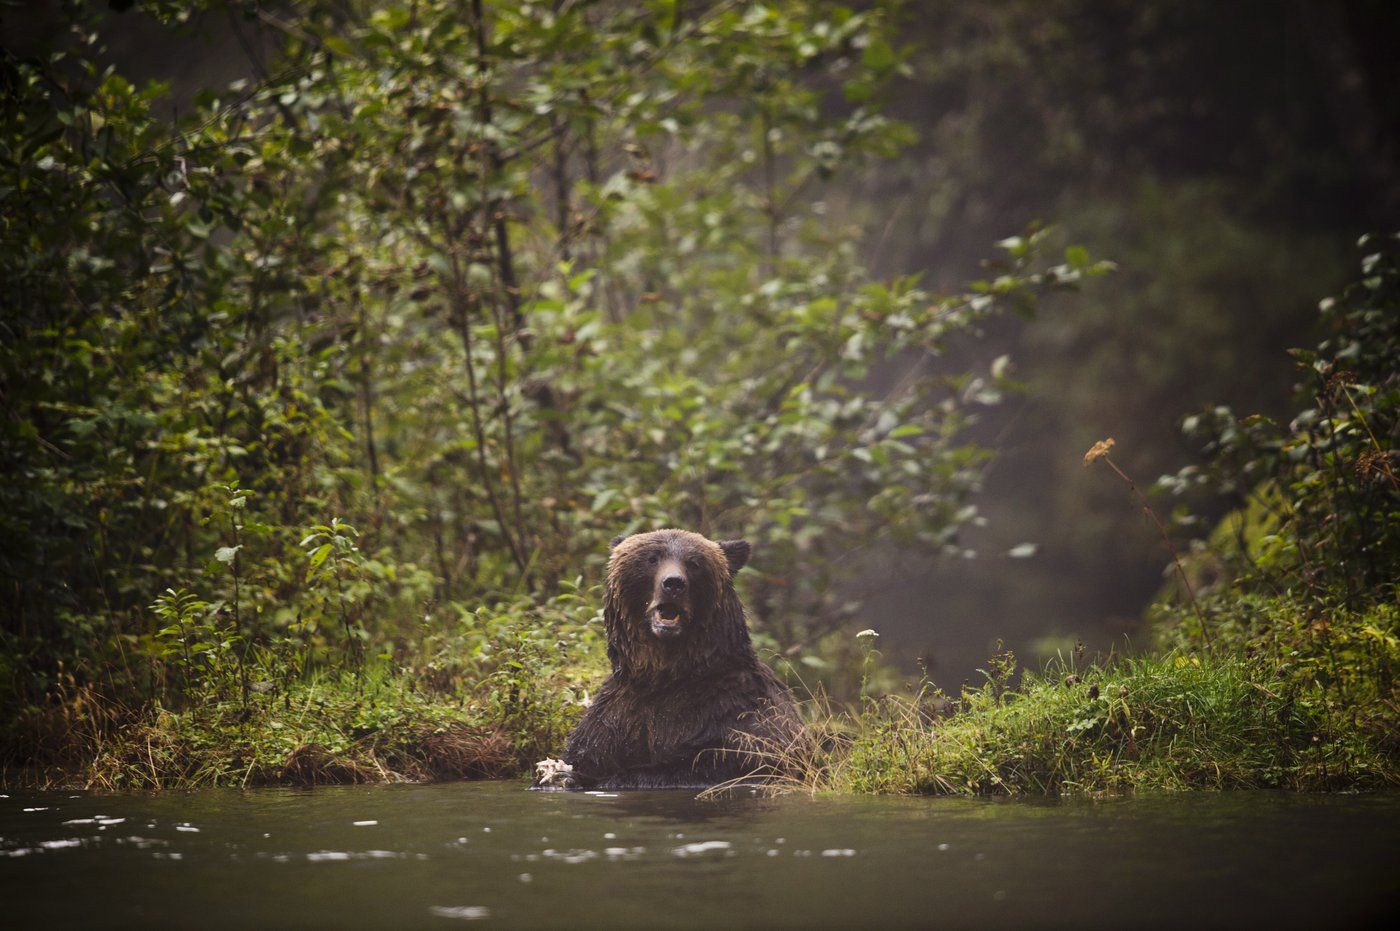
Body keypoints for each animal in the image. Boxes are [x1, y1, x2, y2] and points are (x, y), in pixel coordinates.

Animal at [543, 529, 806, 784]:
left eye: (694, 563)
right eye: (652, 558)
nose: (673, 583)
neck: (667, 674)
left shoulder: (738, 708)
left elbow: (734, 761)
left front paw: (572, 776)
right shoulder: (615, 716)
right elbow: (587, 751)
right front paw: (560, 772)